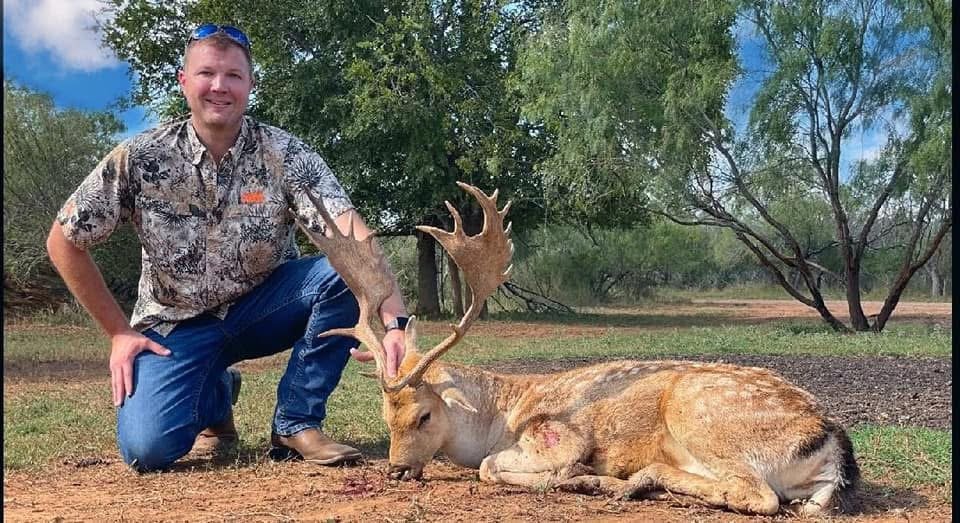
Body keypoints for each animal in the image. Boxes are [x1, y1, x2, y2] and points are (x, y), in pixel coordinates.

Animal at [299, 182, 860, 517]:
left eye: (424, 415)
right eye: (385, 416)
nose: (395, 469)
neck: (499, 415)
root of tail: (833, 443)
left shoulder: (556, 434)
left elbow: (491, 467)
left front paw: (571, 472)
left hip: (703, 415)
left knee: (759, 495)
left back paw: (616, 481)